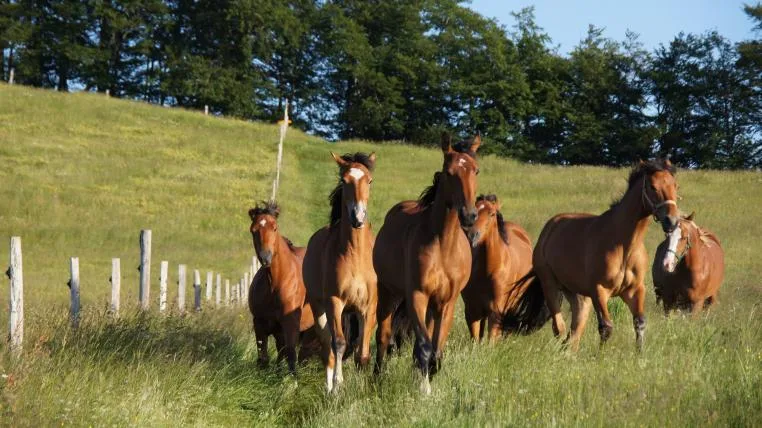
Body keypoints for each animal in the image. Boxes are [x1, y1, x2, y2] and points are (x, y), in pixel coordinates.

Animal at [247, 201, 316, 374]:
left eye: (275, 228)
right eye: (253, 230)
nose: (265, 257)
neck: (275, 284)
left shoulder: (291, 324)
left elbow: (291, 356)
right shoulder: (260, 323)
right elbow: (263, 358)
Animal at [303, 152, 378, 393]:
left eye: (369, 180)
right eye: (344, 181)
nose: (358, 217)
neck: (355, 256)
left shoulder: (368, 306)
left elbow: (362, 352)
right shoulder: (335, 302)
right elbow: (339, 343)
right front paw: (338, 385)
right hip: (320, 306)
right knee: (328, 343)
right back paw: (329, 388)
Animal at [373, 133, 480, 394]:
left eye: (476, 170)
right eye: (449, 172)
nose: (469, 215)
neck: (443, 246)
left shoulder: (447, 302)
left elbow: (436, 349)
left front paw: (427, 378)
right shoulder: (417, 295)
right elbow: (423, 345)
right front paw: (424, 389)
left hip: (432, 305)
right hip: (389, 293)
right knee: (384, 335)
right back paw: (377, 378)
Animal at [462, 194, 549, 342]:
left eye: (491, 214)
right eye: (474, 212)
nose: (472, 235)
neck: (488, 270)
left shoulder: (496, 310)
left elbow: (491, 339)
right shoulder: (472, 309)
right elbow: (476, 338)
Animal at [532, 158, 680, 351]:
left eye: (675, 185)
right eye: (653, 187)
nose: (672, 221)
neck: (624, 246)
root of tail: (550, 227)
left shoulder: (634, 290)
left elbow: (639, 323)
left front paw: (639, 354)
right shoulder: (599, 290)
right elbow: (606, 327)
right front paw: (599, 355)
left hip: (577, 294)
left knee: (575, 329)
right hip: (550, 284)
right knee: (560, 327)